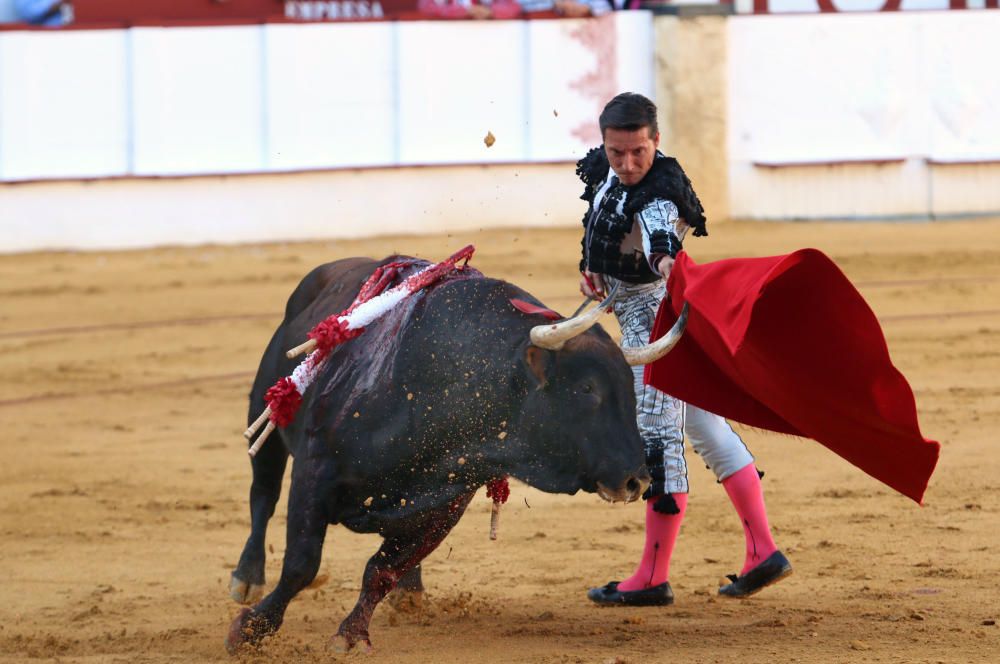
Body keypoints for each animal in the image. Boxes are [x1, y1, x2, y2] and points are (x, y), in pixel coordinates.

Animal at [223, 255, 684, 652]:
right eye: (587, 389)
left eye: (630, 387)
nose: (637, 479)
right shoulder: (315, 472)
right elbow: (301, 563)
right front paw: (250, 630)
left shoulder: (443, 504)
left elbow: (381, 571)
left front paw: (351, 635)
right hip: (264, 408)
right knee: (262, 496)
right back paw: (246, 579)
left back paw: (410, 592)